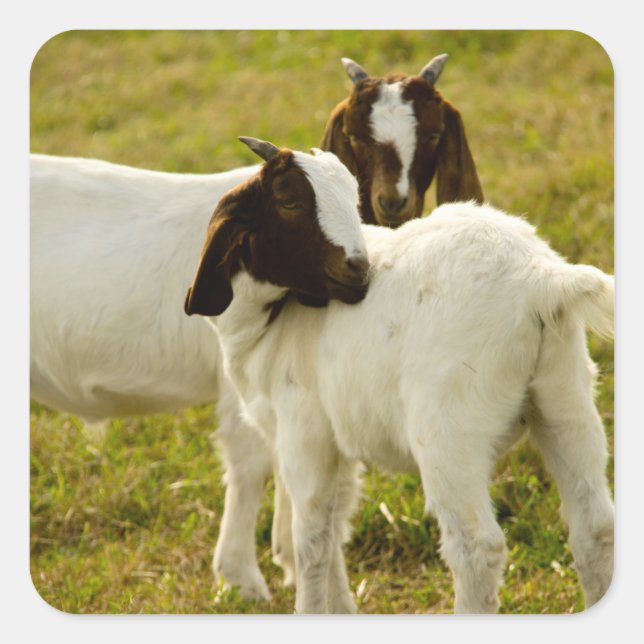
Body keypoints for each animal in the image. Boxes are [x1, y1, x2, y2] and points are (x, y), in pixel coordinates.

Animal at [185, 137, 614, 614]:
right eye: (290, 200)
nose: (359, 269)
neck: (267, 323)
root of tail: (540, 279)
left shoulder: (304, 435)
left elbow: (311, 540)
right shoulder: (336, 443)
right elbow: (334, 532)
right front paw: (343, 610)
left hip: (450, 431)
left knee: (476, 547)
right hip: (566, 397)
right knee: (594, 527)